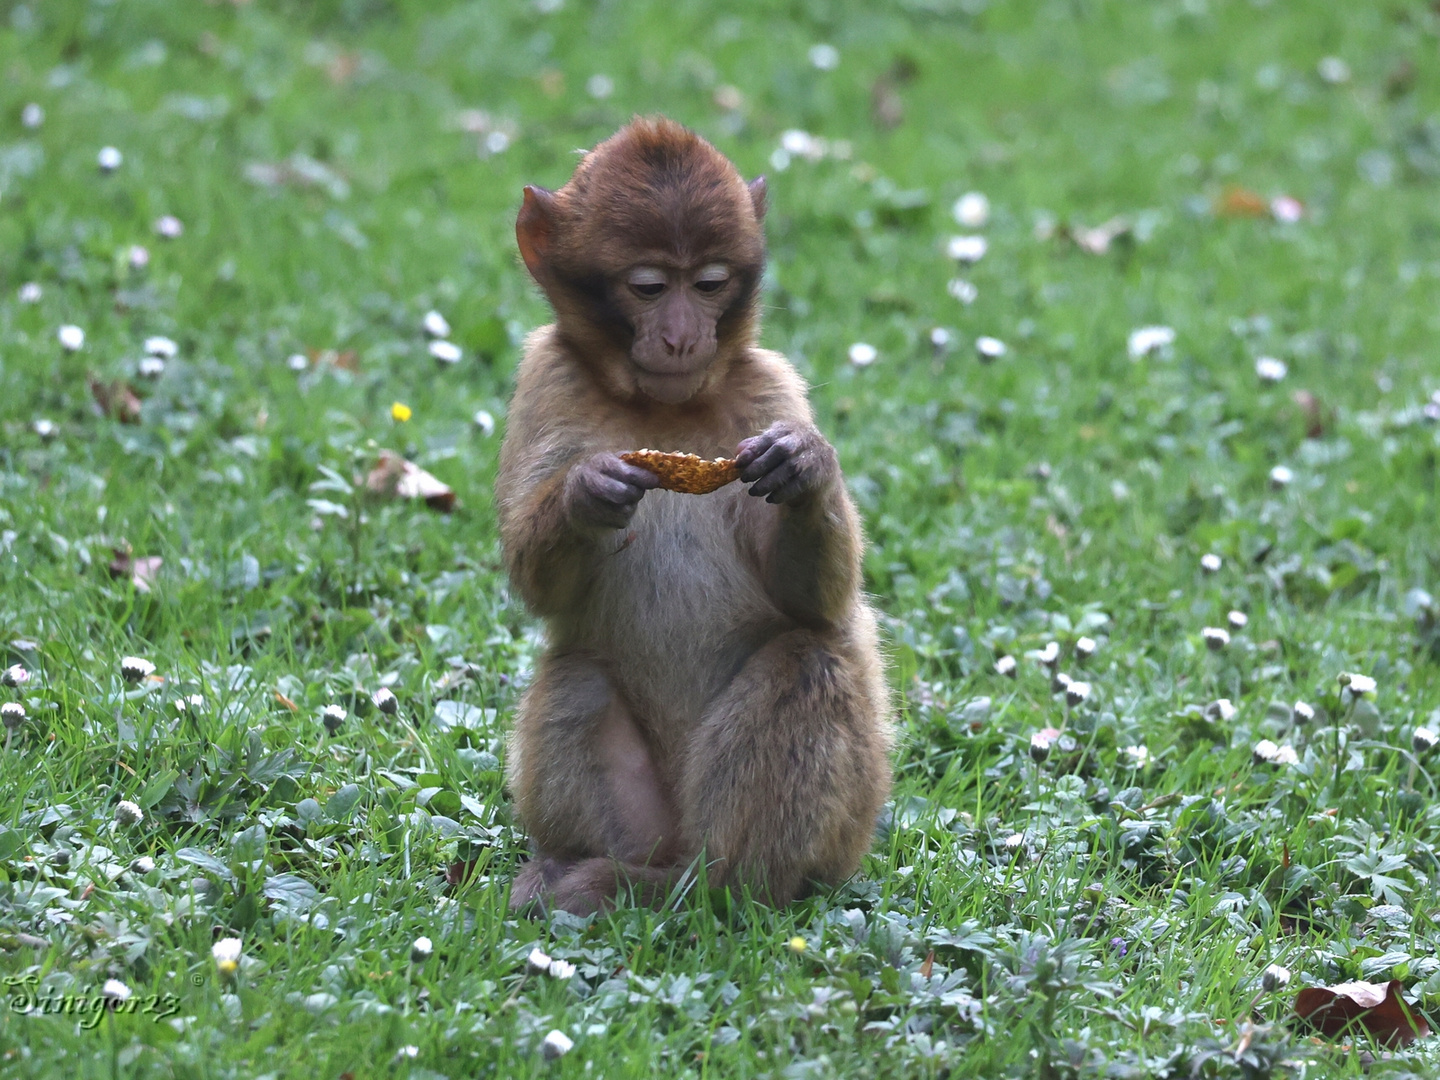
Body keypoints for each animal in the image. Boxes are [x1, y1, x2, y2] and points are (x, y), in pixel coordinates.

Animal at [501, 116, 892, 915]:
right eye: (649, 286)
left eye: (709, 284)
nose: (683, 336)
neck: (662, 408)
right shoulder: (546, 378)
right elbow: (535, 580)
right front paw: (586, 492)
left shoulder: (769, 388)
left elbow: (817, 604)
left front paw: (806, 469)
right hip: (653, 816)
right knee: (579, 679)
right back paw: (596, 872)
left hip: (831, 840)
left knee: (808, 661)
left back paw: (723, 890)